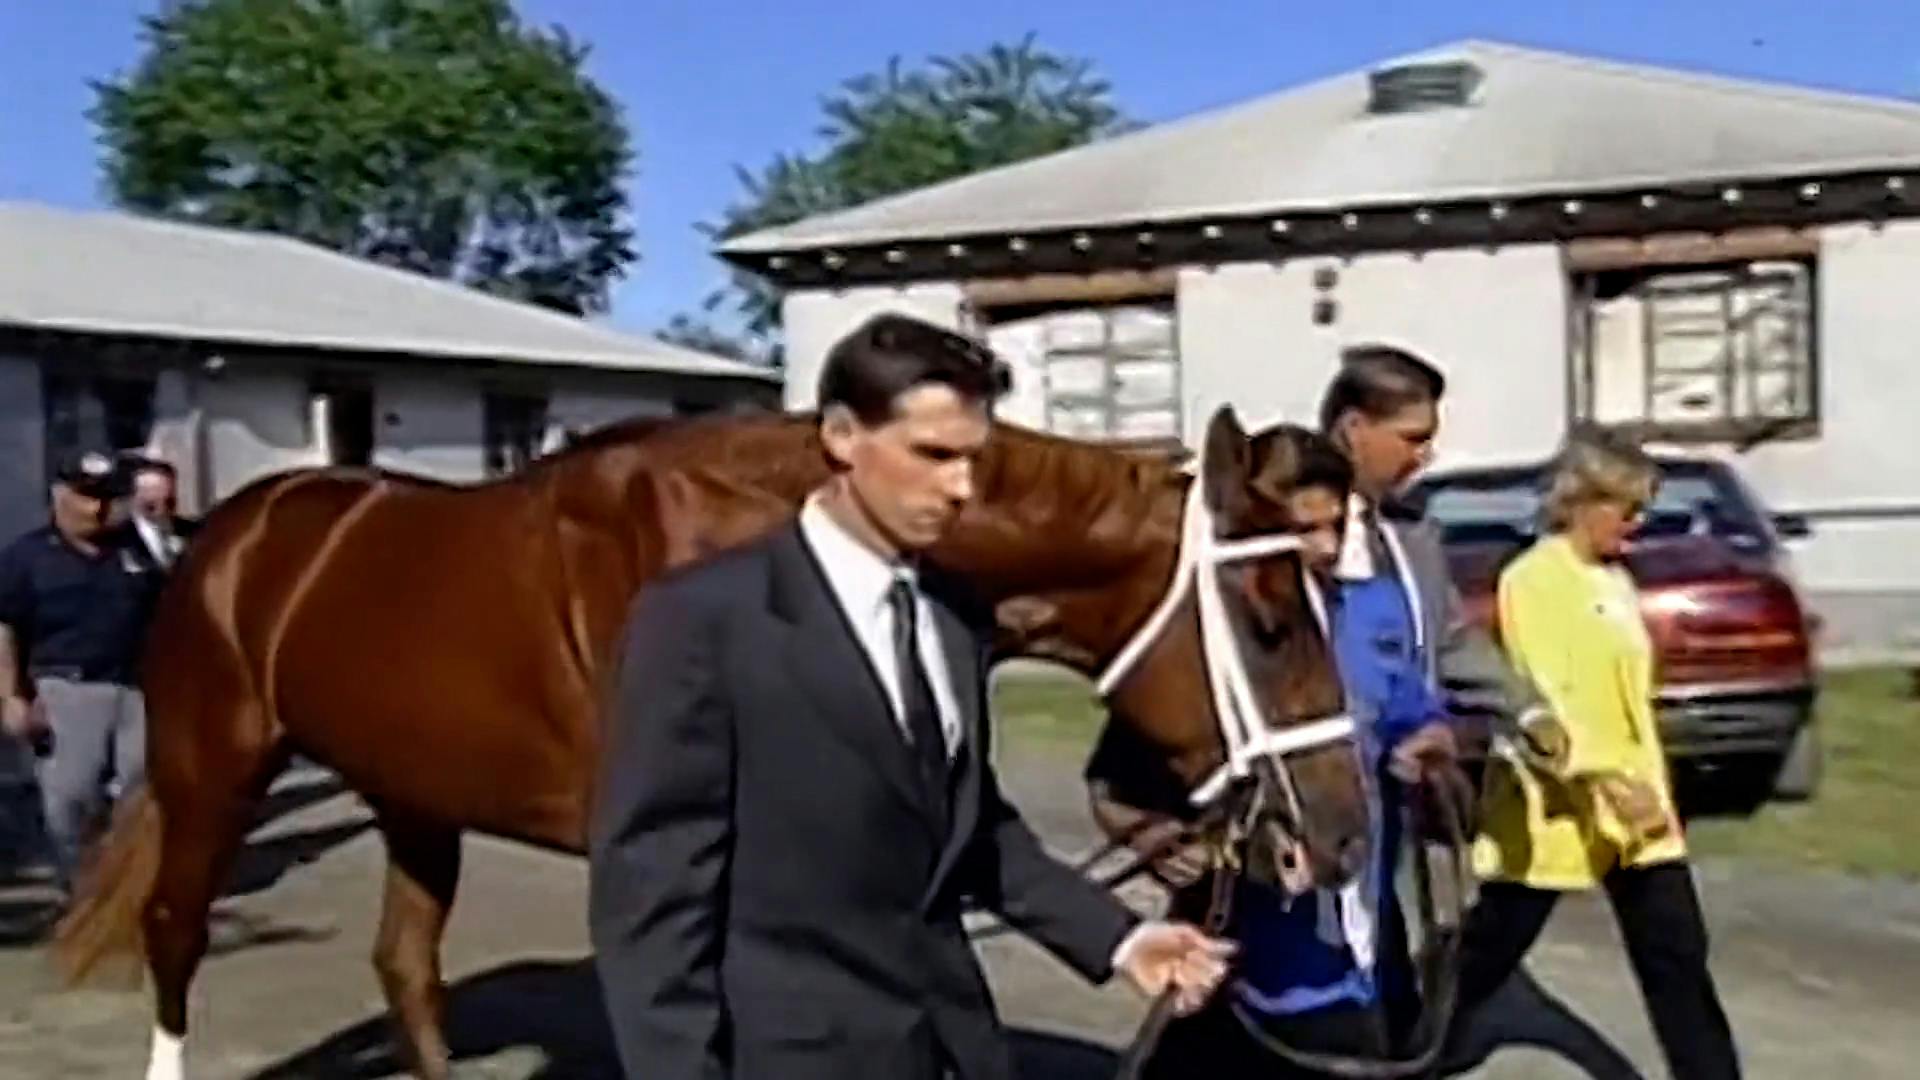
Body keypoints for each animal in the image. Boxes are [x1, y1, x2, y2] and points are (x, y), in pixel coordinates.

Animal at [52, 403, 1359, 1076]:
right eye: (1272, 617)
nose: (1345, 830)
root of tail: (233, 531)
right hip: (212, 770)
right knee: (175, 934)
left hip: (413, 799)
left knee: (406, 971)